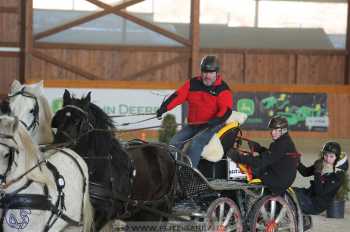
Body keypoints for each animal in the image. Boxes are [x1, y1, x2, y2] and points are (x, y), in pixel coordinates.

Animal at [52, 90, 176, 230]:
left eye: (78, 121)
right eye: (58, 118)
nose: (58, 145)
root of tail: (168, 154)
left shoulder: (104, 214)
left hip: (154, 210)